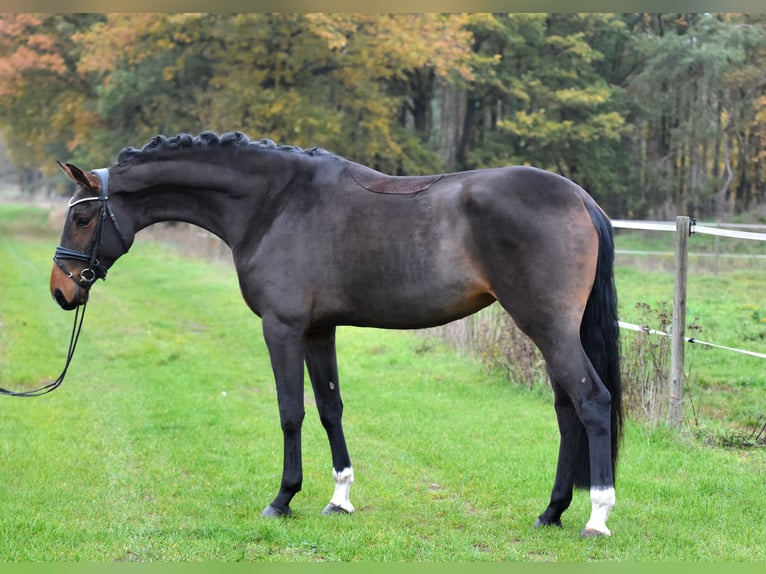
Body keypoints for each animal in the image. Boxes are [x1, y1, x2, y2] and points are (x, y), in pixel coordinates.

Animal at [49, 132, 624, 540]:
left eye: (83, 216)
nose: (61, 290)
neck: (274, 203)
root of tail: (580, 199)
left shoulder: (281, 328)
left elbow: (291, 411)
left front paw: (282, 499)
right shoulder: (318, 331)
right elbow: (329, 408)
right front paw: (339, 497)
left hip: (548, 327)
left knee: (592, 402)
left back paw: (597, 516)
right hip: (550, 332)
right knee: (566, 410)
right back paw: (551, 512)